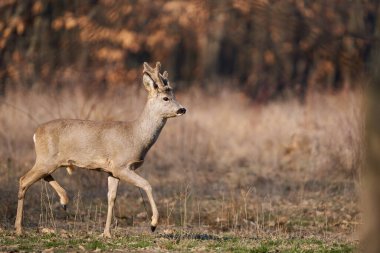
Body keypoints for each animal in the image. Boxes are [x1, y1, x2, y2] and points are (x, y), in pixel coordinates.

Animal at [15, 61, 187, 237]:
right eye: (166, 98)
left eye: (174, 96)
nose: (182, 109)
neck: (135, 135)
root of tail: (36, 133)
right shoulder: (120, 165)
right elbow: (146, 184)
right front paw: (153, 224)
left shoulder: (111, 171)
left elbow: (111, 198)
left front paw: (106, 233)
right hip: (46, 158)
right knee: (24, 180)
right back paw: (19, 229)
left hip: (50, 160)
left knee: (40, 176)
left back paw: (64, 200)